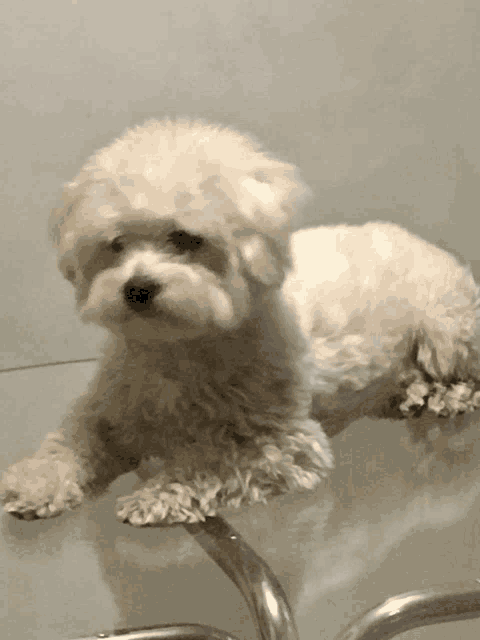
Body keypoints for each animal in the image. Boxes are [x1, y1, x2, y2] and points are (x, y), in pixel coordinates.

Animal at [0, 119, 480, 524]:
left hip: (447, 333)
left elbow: (213, 462)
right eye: (116, 244)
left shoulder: (285, 446)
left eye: (185, 239)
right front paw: (36, 483)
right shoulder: (109, 409)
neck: (179, 347)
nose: (136, 288)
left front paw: (159, 493)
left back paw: (443, 396)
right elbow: (69, 441)